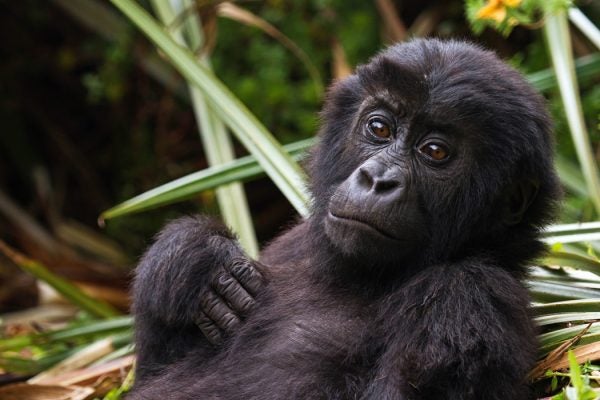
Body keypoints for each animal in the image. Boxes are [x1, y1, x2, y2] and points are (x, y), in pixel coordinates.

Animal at [129, 38, 560, 400]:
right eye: (379, 127)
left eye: (435, 151)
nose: (377, 180)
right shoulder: (292, 243)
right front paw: (191, 255)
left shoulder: (467, 297)